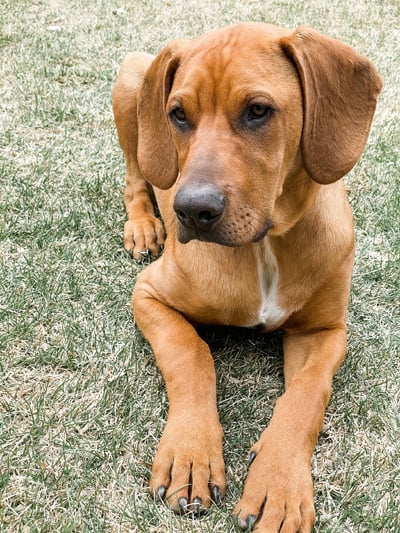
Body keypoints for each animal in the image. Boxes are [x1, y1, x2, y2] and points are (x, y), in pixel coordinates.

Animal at [111, 21, 382, 532]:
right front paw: (191, 454)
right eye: (178, 115)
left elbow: (305, 395)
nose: (190, 212)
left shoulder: (325, 331)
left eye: (258, 111)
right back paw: (143, 225)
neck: (263, 246)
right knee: (135, 174)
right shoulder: (149, 294)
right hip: (130, 82)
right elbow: (190, 353)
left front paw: (279, 485)